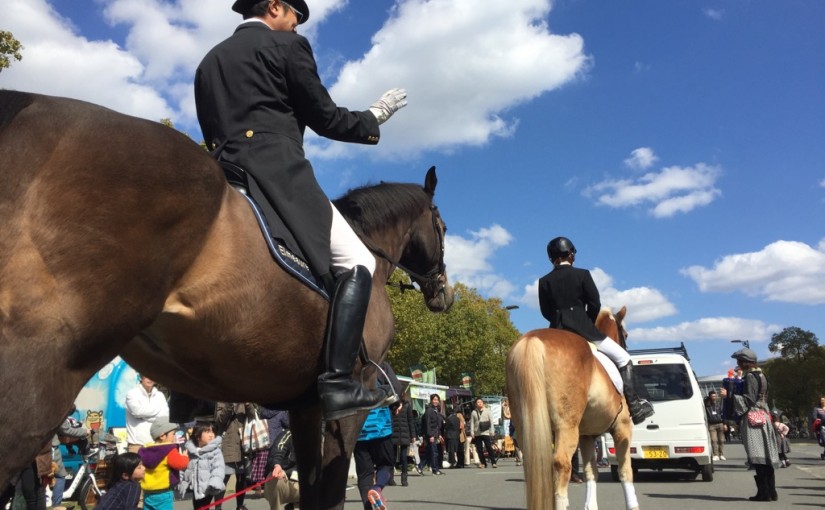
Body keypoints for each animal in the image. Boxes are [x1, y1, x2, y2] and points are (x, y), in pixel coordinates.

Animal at [0, 90, 455, 510]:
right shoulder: (350, 406)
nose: (445, 296)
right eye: (443, 227)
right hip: (44, 366)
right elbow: (330, 492)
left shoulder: (307, 407)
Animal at [506, 306, 639, 510]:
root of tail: (532, 339)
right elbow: (625, 470)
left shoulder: (586, 436)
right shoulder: (622, 427)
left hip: (525, 427)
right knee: (562, 466)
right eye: (625, 334)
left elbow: (591, 472)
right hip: (566, 426)